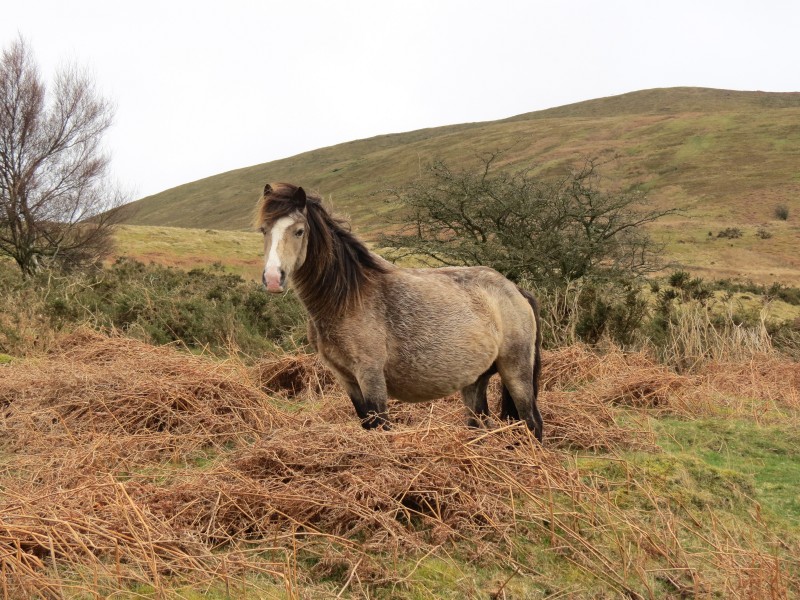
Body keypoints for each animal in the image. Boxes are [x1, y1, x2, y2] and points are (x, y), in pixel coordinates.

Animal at [256, 183, 544, 440]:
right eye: (264, 230)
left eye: (299, 231)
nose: (273, 279)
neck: (347, 298)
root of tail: (515, 290)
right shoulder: (347, 379)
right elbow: (368, 426)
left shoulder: (370, 375)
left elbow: (382, 428)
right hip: (475, 380)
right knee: (479, 425)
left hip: (516, 371)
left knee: (532, 422)